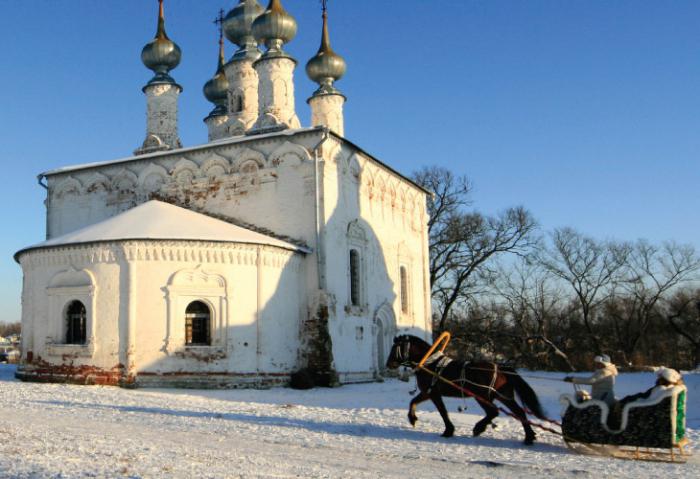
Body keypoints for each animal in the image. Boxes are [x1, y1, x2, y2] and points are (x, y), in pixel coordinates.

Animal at [388, 336, 548, 444]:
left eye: (395, 348)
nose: (388, 363)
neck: (431, 364)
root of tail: (500, 367)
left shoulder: (432, 393)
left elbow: (442, 412)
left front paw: (448, 431)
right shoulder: (428, 392)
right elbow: (413, 402)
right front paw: (412, 419)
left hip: (482, 395)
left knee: (493, 412)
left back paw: (479, 428)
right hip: (503, 395)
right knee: (519, 412)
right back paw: (529, 437)